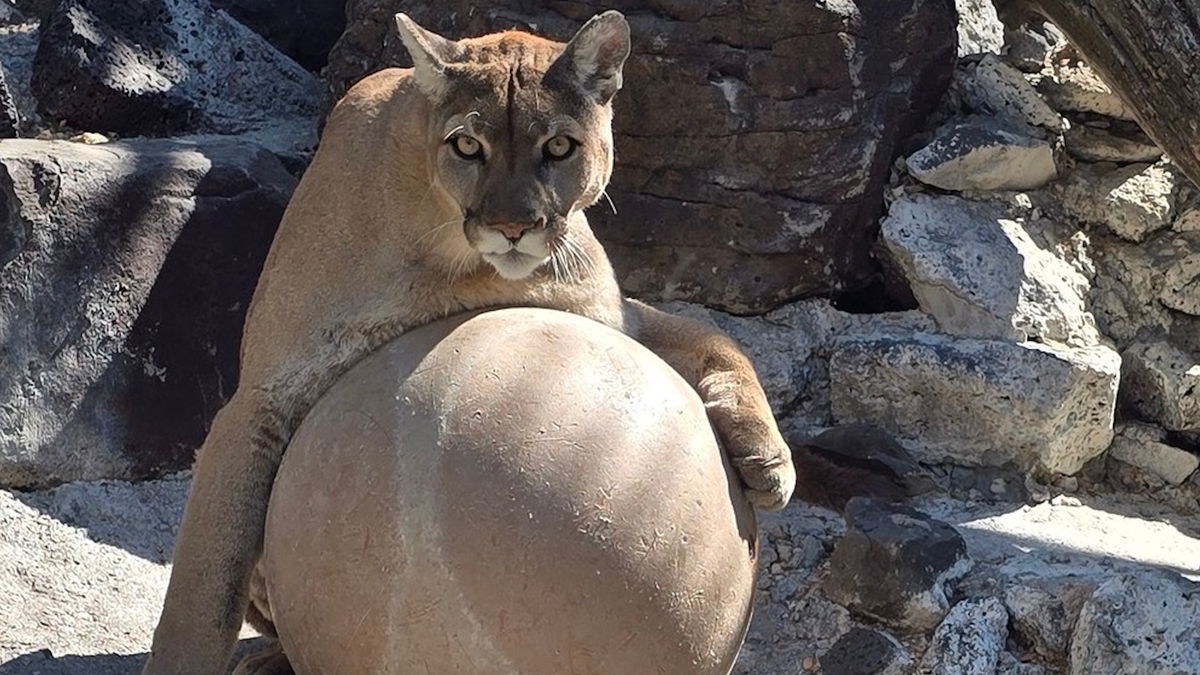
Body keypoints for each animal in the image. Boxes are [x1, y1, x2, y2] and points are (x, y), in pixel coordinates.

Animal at [143, 11, 796, 674]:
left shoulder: (608, 314)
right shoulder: (262, 398)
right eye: (466, 145)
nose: (512, 227)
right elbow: (202, 593)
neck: (452, 261)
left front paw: (769, 461)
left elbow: (713, 333)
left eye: (558, 146)